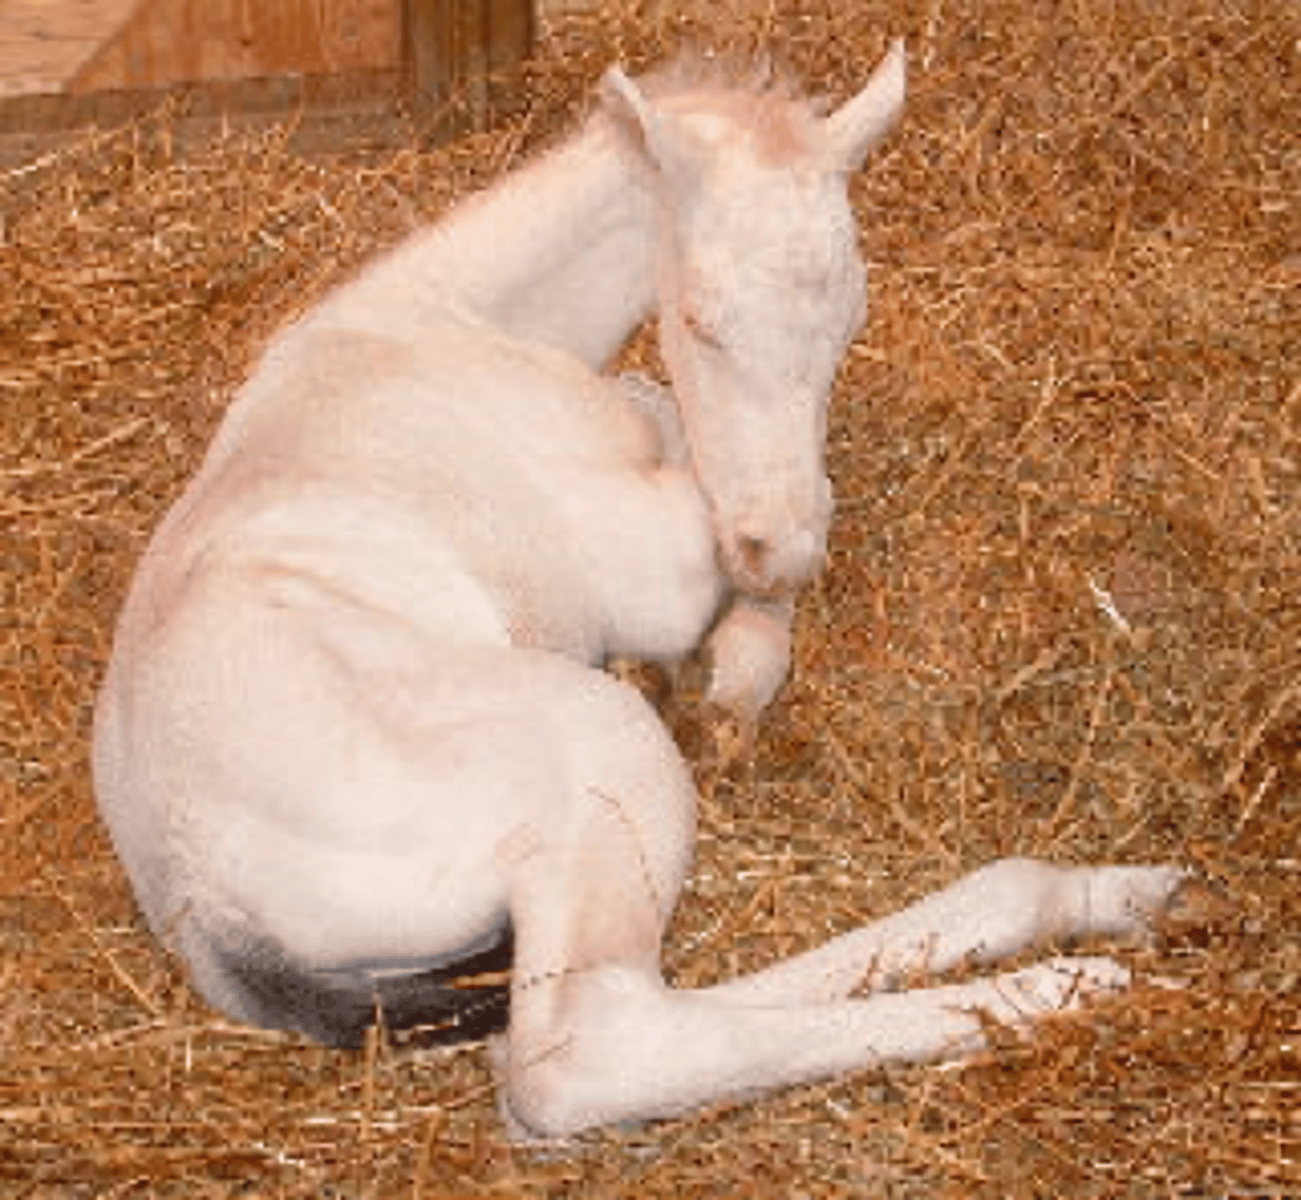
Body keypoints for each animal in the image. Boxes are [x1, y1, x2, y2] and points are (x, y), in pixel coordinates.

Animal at [92, 41, 1193, 1139]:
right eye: (700, 319)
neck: (448, 324)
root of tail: (203, 908)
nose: (783, 551)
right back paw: (1057, 985)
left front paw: (735, 662)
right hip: (596, 754)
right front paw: (734, 661)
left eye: (850, 319)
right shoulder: (646, 559)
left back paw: (1112, 900)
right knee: (585, 1051)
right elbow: (697, 480)